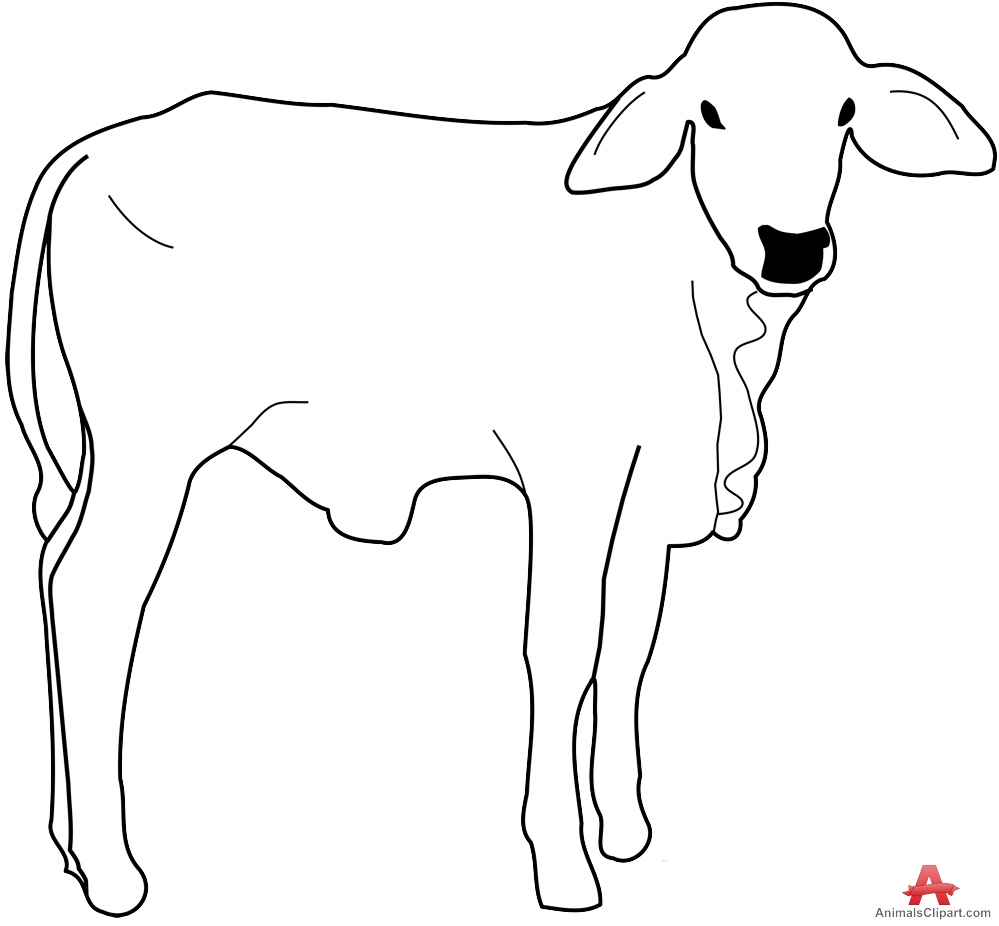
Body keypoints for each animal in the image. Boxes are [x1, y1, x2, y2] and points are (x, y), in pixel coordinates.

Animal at [6, 2, 994, 916]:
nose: (790, 248)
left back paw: (64, 841)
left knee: (52, 572)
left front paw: (623, 830)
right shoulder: (575, 474)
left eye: (844, 111)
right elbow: (561, 646)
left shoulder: (646, 506)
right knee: (93, 594)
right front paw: (563, 863)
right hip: (151, 452)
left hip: (89, 456)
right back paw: (112, 868)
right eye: (708, 112)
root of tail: (99, 148)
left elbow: (627, 651)